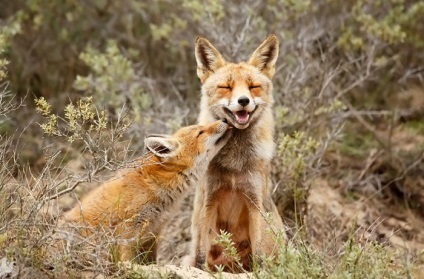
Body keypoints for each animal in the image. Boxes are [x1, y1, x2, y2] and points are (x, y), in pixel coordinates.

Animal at [61, 119, 230, 264]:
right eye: (200, 132)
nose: (225, 119)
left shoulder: (154, 233)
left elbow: (151, 262)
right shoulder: (128, 230)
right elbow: (127, 259)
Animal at [188, 34, 284, 272]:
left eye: (253, 87)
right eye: (226, 87)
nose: (243, 101)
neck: (234, 163)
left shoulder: (255, 202)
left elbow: (260, 255)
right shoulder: (208, 200)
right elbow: (201, 256)